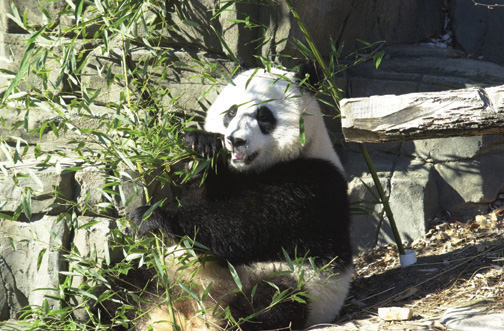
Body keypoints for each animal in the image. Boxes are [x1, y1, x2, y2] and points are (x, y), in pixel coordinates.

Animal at [96, 63, 352, 330]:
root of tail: (189, 309)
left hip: (293, 281)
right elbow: (199, 198)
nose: (235, 140)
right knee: (121, 288)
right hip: (162, 270)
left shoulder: (312, 183)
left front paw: (155, 216)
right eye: (231, 112)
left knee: (270, 303)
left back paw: (227, 317)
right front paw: (202, 144)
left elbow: (244, 225)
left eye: (264, 116)